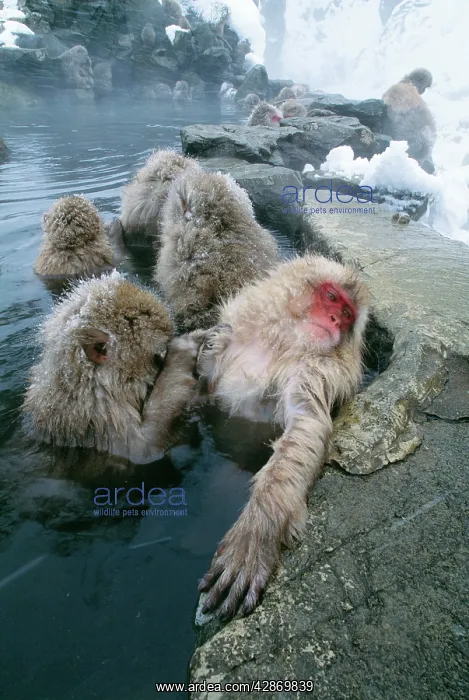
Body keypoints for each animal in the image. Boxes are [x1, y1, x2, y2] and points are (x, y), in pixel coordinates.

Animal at [196, 254, 370, 618]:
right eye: (331, 297)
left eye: (348, 314)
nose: (335, 319)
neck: (283, 343)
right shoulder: (233, 335)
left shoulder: (318, 372)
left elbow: (307, 425)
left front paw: (256, 532)